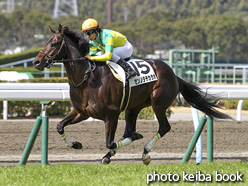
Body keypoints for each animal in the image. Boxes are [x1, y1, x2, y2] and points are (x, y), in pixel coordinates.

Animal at [32, 24, 232, 164]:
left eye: (54, 44)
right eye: (45, 42)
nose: (36, 62)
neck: (87, 78)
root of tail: (173, 73)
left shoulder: (111, 115)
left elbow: (110, 142)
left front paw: (126, 143)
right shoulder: (82, 112)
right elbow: (60, 126)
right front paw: (76, 144)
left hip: (158, 104)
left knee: (164, 127)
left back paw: (145, 153)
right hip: (133, 107)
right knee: (130, 129)